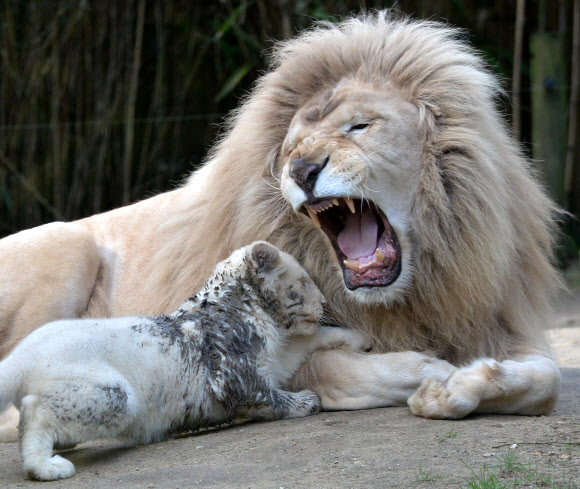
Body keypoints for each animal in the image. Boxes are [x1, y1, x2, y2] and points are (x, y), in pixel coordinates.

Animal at [0, 14, 560, 420]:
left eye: (360, 126)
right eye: (291, 147)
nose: (303, 169)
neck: (409, 293)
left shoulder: (499, 321)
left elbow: (548, 379)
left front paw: (462, 386)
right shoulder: (274, 361)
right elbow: (368, 369)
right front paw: (437, 375)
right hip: (67, 245)